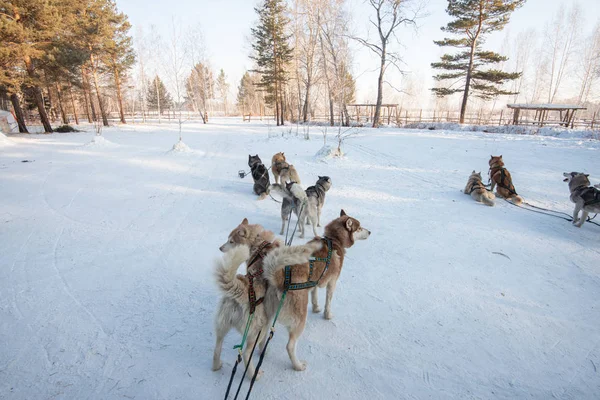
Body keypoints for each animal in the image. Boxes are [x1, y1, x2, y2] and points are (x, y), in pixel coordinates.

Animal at [212, 219, 316, 378]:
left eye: (231, 241)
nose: (220, 248)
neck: (260, 244)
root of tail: (241, 290)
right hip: (276, 326)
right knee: (255, 352)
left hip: (224, 325)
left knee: (218, 346)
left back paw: (217, 365)